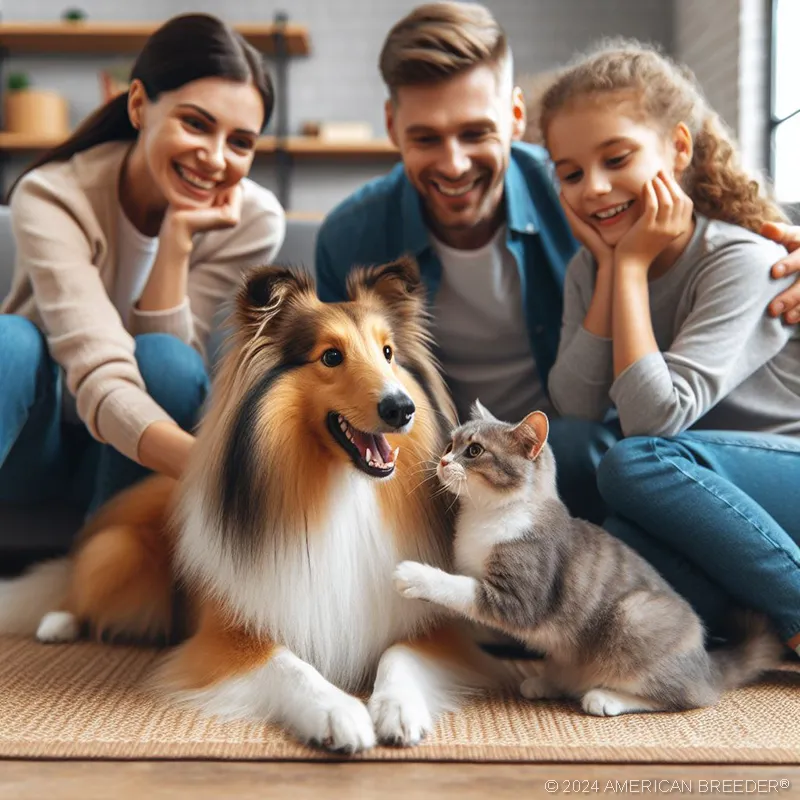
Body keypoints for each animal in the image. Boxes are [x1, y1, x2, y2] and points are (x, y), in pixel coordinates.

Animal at [0, 256, 500, 752]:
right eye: (331, 356)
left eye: (389, 353)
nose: (402, 408)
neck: (342, 490)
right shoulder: (227, 636)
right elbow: (291, 667)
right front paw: (339, 713)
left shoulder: (429, 627)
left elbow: (399, 656)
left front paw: (398, 708)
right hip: (120, 553)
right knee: (76, 590)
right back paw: (57, 623)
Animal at [394, 404, 780, 716]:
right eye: (450, 445)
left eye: (474, 450)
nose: (443, 460)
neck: (487, 516)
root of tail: (707, 663)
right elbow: (463, 580)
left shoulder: (520, 595)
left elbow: (463, 589)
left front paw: (416, 576)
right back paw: (548, 681)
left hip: (633, 616)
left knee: (687, 696)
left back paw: (606, 697)